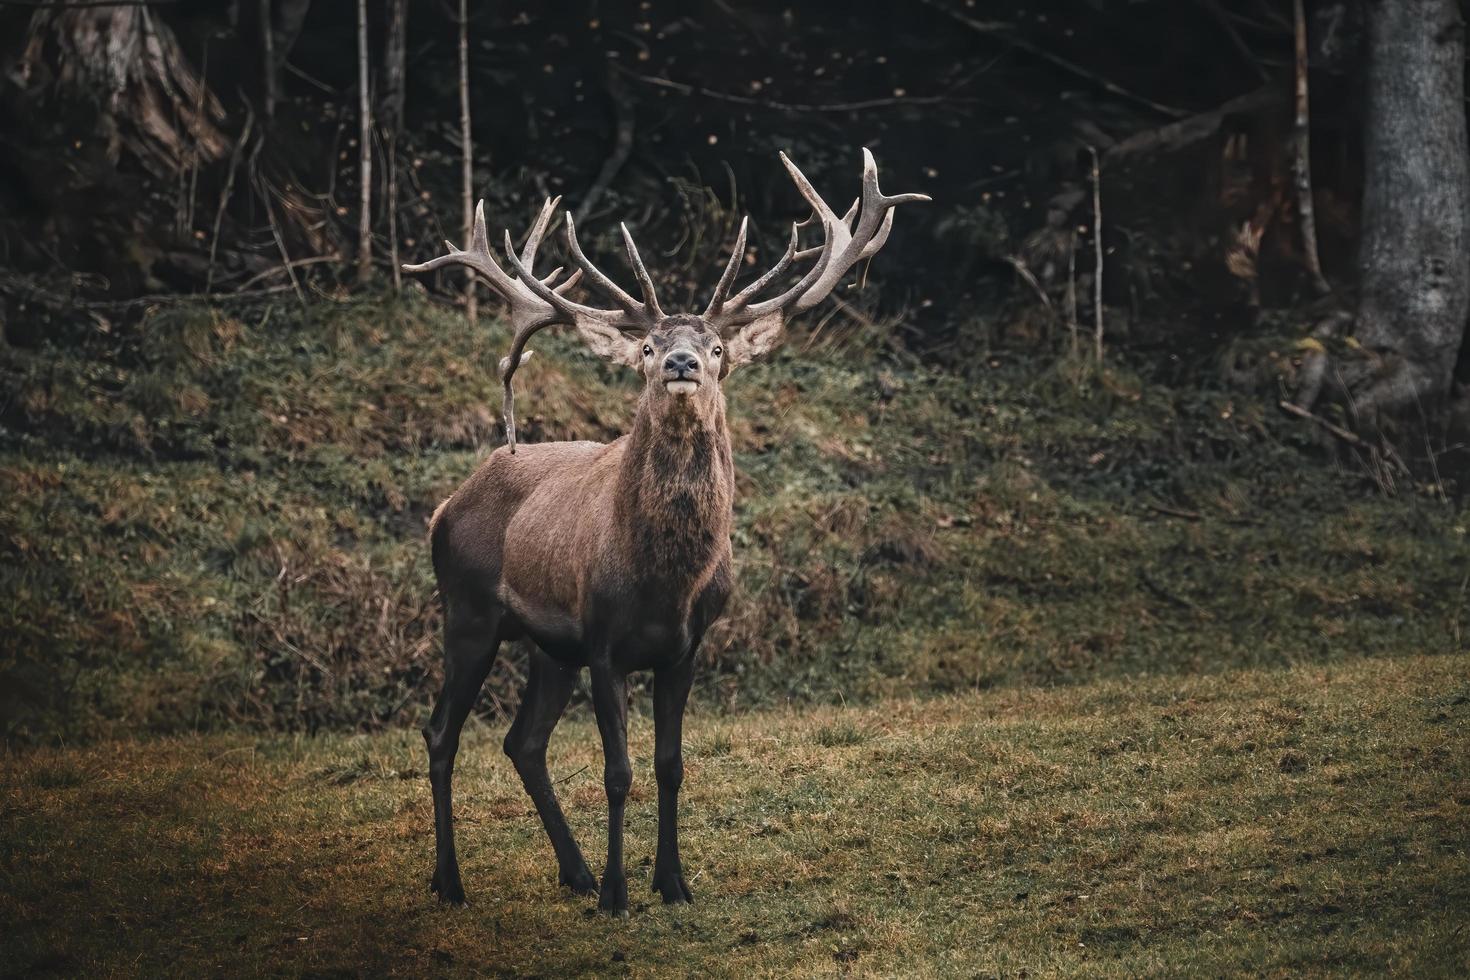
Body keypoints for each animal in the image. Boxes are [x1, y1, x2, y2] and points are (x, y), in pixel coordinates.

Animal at [399, 149, 929, 916]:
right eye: (648, 346)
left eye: (717, 346)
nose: (682, 362)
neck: (664, 584)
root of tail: (446, 505)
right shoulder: (603, 642)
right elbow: (619, 771)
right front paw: (620, 894)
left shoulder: (686, 646)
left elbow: (671, 764)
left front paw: (672, 882)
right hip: (468, 610)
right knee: (442, 732)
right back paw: (452, 881)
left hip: (548, 645)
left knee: (523, 742)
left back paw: (574, 871)